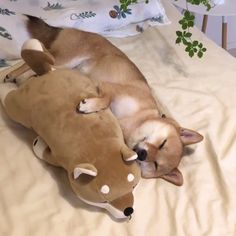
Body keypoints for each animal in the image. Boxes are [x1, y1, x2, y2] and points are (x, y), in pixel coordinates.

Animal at [6, 16, 204, 186]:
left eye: (155, 164)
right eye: (163, 143)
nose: (141, 154)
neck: (135, 120)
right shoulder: (109, 86)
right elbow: (107, 99)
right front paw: (90, 106)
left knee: (35, 63)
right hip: (66, 59)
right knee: (28, 60)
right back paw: (13, 74)